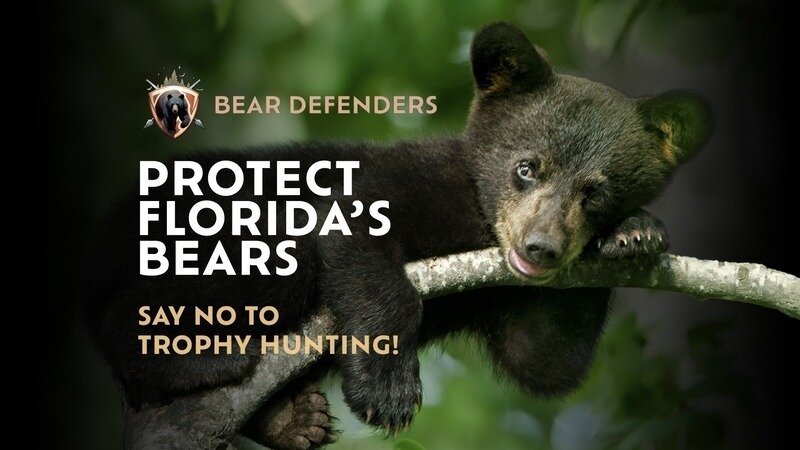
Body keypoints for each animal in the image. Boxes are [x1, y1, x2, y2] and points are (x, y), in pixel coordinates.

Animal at [85, 22, 711, 450]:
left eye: (595, 193)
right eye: (527, 167)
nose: (540, 248)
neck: (475, 213)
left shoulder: (510, 296)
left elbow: (544, 355)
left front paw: (635, 233)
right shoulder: (391, 182)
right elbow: (367, 253)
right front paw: (387, 391)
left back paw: (294, 420)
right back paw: (201, 361)